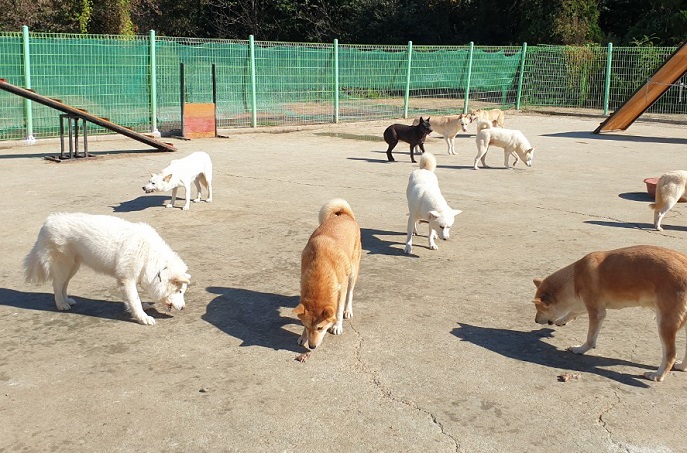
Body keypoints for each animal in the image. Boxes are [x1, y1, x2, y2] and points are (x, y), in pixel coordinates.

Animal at [24, 212, 191, 324]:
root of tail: (47, 222)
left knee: (64, 285)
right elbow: (135, 299)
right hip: (63, 266)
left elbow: (133, 299)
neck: (150, 255)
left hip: (73, 267)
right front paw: (143, 317)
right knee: (57, 285)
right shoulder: (127, 279)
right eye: (179, 292)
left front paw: (143, 308)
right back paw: (61, 304)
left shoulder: (132, 278)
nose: (184, 308)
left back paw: (67, 300)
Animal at [292, 198, 362, 350]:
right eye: (306, 326)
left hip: (353, 271)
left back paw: (348, 310)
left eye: (320, 328)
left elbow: (338, 310)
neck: (320, 266)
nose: (312, 346)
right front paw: (303, 336)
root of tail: (345, 215)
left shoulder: (341, 288)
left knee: (350, 293)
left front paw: (337, 326)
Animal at [536, 244, 687, 382]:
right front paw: (562, 321)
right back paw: (681, 366)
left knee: (670, 354)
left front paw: (581, 349)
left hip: (664, 324)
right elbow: (574, 312)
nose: (535, 320)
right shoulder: (590, 305)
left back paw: (658, 375)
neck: (575, 277)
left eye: (539, 309)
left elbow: (590, 338)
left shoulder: (596, 312)